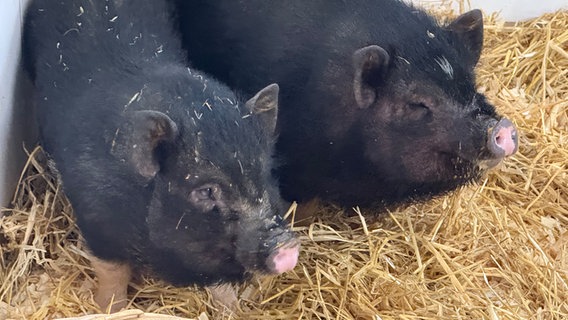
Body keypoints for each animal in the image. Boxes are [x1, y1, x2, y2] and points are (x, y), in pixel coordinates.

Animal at [23, 0, 298, 312]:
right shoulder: (94, 221)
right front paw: (110, 310)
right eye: (205, 190)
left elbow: (220, 286)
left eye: (266, 174)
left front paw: (234, 311)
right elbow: (112, 272)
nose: (287, 247)